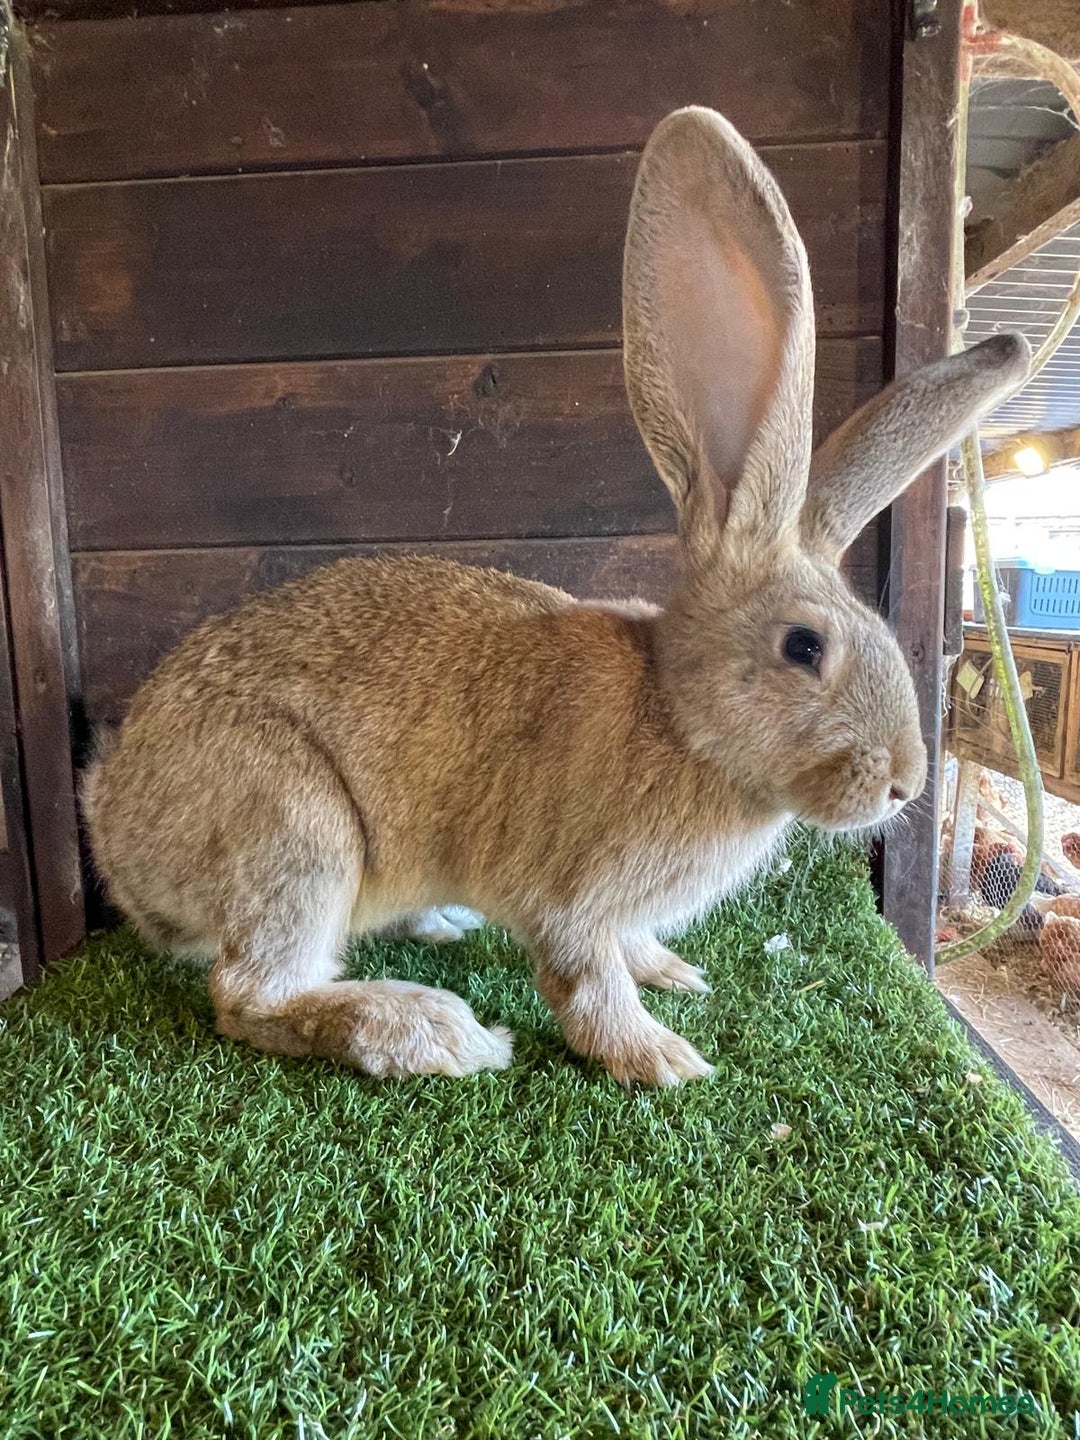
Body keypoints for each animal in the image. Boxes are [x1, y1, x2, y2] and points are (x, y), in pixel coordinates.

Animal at [82, 107, 1029, 1087]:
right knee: (248, 995)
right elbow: (583, 977)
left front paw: (672, 972)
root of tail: (115, 831)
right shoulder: (569, 895)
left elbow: (626, 949)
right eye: (804, 648)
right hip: (295, 826)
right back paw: (429, 1031)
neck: (677, 717)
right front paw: (660, 1057)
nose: (903, 783)